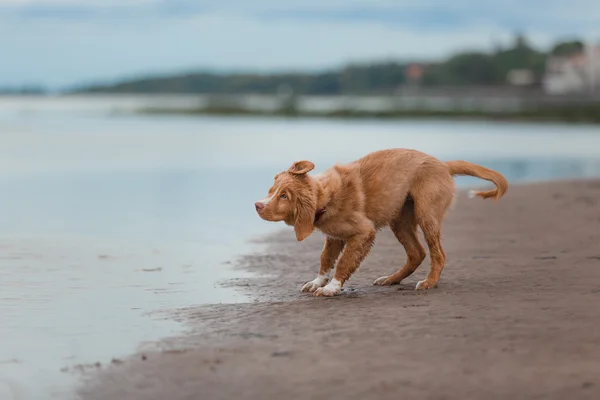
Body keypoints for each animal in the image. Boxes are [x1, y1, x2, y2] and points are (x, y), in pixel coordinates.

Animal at [253, 148, 506, 296]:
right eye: (272, 190)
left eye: (284, 196)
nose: (257, 205)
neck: (325, 196)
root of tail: (444, 165)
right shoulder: (334, 236)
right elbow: (325, 259)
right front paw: (318, 282)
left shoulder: (364, 232)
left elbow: (344, 262)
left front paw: (332, 287)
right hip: (400, 219)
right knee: (416, 253)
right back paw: (391, 279)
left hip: (426, 213)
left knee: (437, 254)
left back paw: (429, 282)